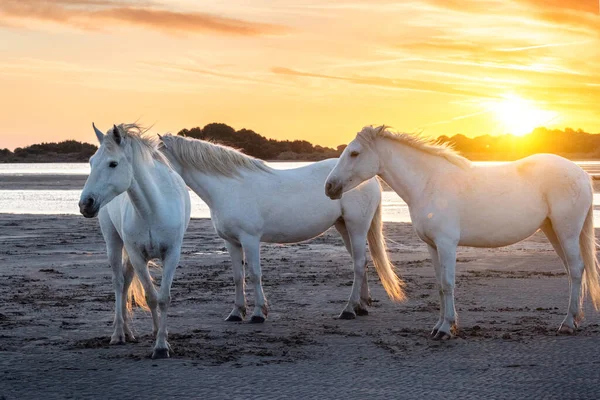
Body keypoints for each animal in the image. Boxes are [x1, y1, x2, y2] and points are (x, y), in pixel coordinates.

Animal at [78, 123, 190, 358]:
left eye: (113, 163)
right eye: (91, 162)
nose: (85, 204)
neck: (152, 209)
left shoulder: (172, 255)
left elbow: (163, 298)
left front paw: (161, 341)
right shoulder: (138, 256)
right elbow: (151, 297)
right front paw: (160, 344)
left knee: (127, 280)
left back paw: (131, 332)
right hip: (114, 242)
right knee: (120, 283)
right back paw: (119, 334)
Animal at [157, 134, 406, 322]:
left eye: (158, 156)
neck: (229, 188)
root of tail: (370, 179)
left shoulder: (250, 239)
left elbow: (254, 274)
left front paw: (258, 313)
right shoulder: (231, 242)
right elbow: (238, 276)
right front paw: (236, 313)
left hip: (356, 227)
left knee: (358, 265)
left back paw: (348, 310)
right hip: (344, 227)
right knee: (361, 262)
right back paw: (361, 307)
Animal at [326, 126, 600, 340]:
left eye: (354, 153)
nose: (329, 187)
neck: (429, 182)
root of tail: (582, 174)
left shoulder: (447, 244)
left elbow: (448, 284)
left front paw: (446, 329)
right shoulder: (432, 246)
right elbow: (439, 285)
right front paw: (439, 325)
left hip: (566, 231)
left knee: (577, 270)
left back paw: (567, 324)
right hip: (553, 231)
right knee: (572, 271)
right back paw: (573, 320)